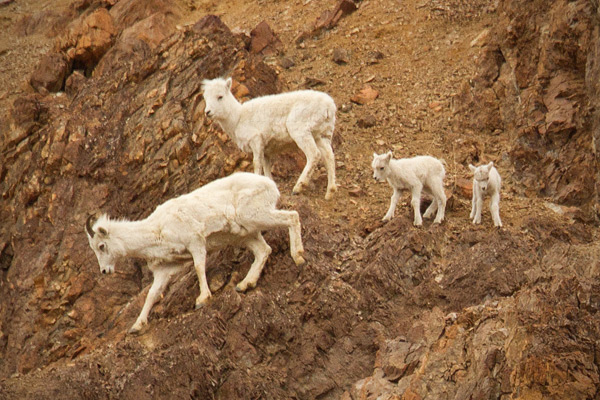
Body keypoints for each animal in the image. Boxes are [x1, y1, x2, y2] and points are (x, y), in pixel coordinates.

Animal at [84, 172, 304, 334]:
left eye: (101, 246)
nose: (104, 271)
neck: (157, 229)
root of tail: (270, 184)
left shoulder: (195, 242)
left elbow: (199, 267)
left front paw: (202, 300)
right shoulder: (164, 270)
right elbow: (152, 294)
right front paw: (136, 327)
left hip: (256, 217)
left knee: (292, 217)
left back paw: (299, 257)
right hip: (246, 234)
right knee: (263, 250)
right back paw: (244, 285)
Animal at [203, 76, 338, 200]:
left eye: (220, 97)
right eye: (206, 98)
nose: (207, 112)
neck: (237, 118)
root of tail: (328, 106)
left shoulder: (256, 141)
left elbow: (257, 164)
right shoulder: (266, 151)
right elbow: (266, 167)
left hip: (301, 131)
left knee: (314, 155)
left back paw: (298, 187)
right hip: (322, 135)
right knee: (329, 157)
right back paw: (330, 192)